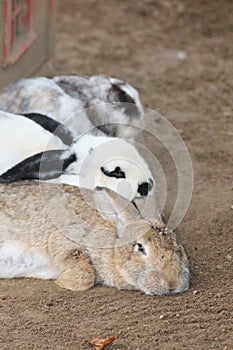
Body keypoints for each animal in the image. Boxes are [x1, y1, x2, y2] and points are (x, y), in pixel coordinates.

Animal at [0, 183, 190, 296]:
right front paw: (62, 282)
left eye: (178, 245)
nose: (172, 282)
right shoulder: (62, 240)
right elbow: (86, 274)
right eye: (140, 247)